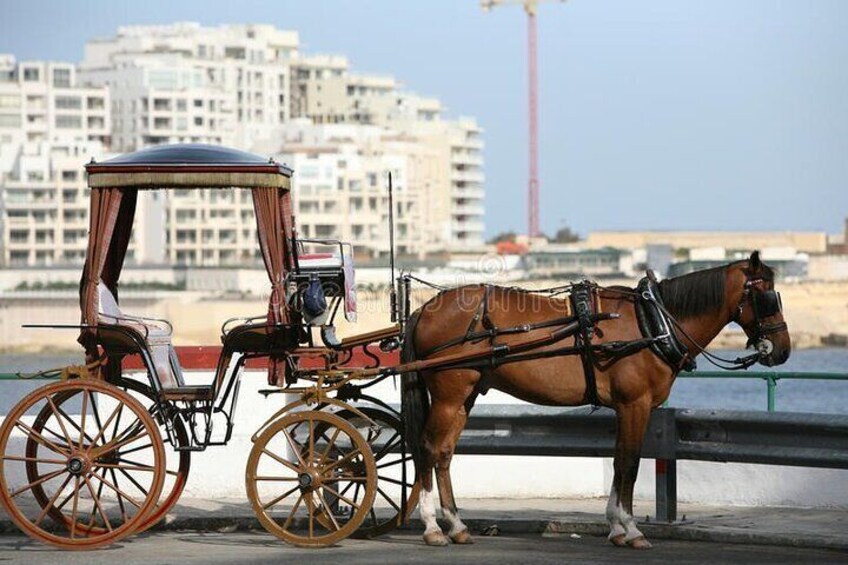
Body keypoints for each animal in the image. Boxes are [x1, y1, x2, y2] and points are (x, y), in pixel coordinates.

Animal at [400, 250, 792, 548]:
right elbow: (630, 464)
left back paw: (456, 525)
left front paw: (616, 527)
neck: (653, 323)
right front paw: (631, 530)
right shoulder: (635, 405)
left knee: (445, 452)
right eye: (767, 296)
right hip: (450, 395)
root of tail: (425, 308)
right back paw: (432, 527)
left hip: (464, 396)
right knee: (428, 448)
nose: (783, 349)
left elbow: (619, 461)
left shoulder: (628, 408)